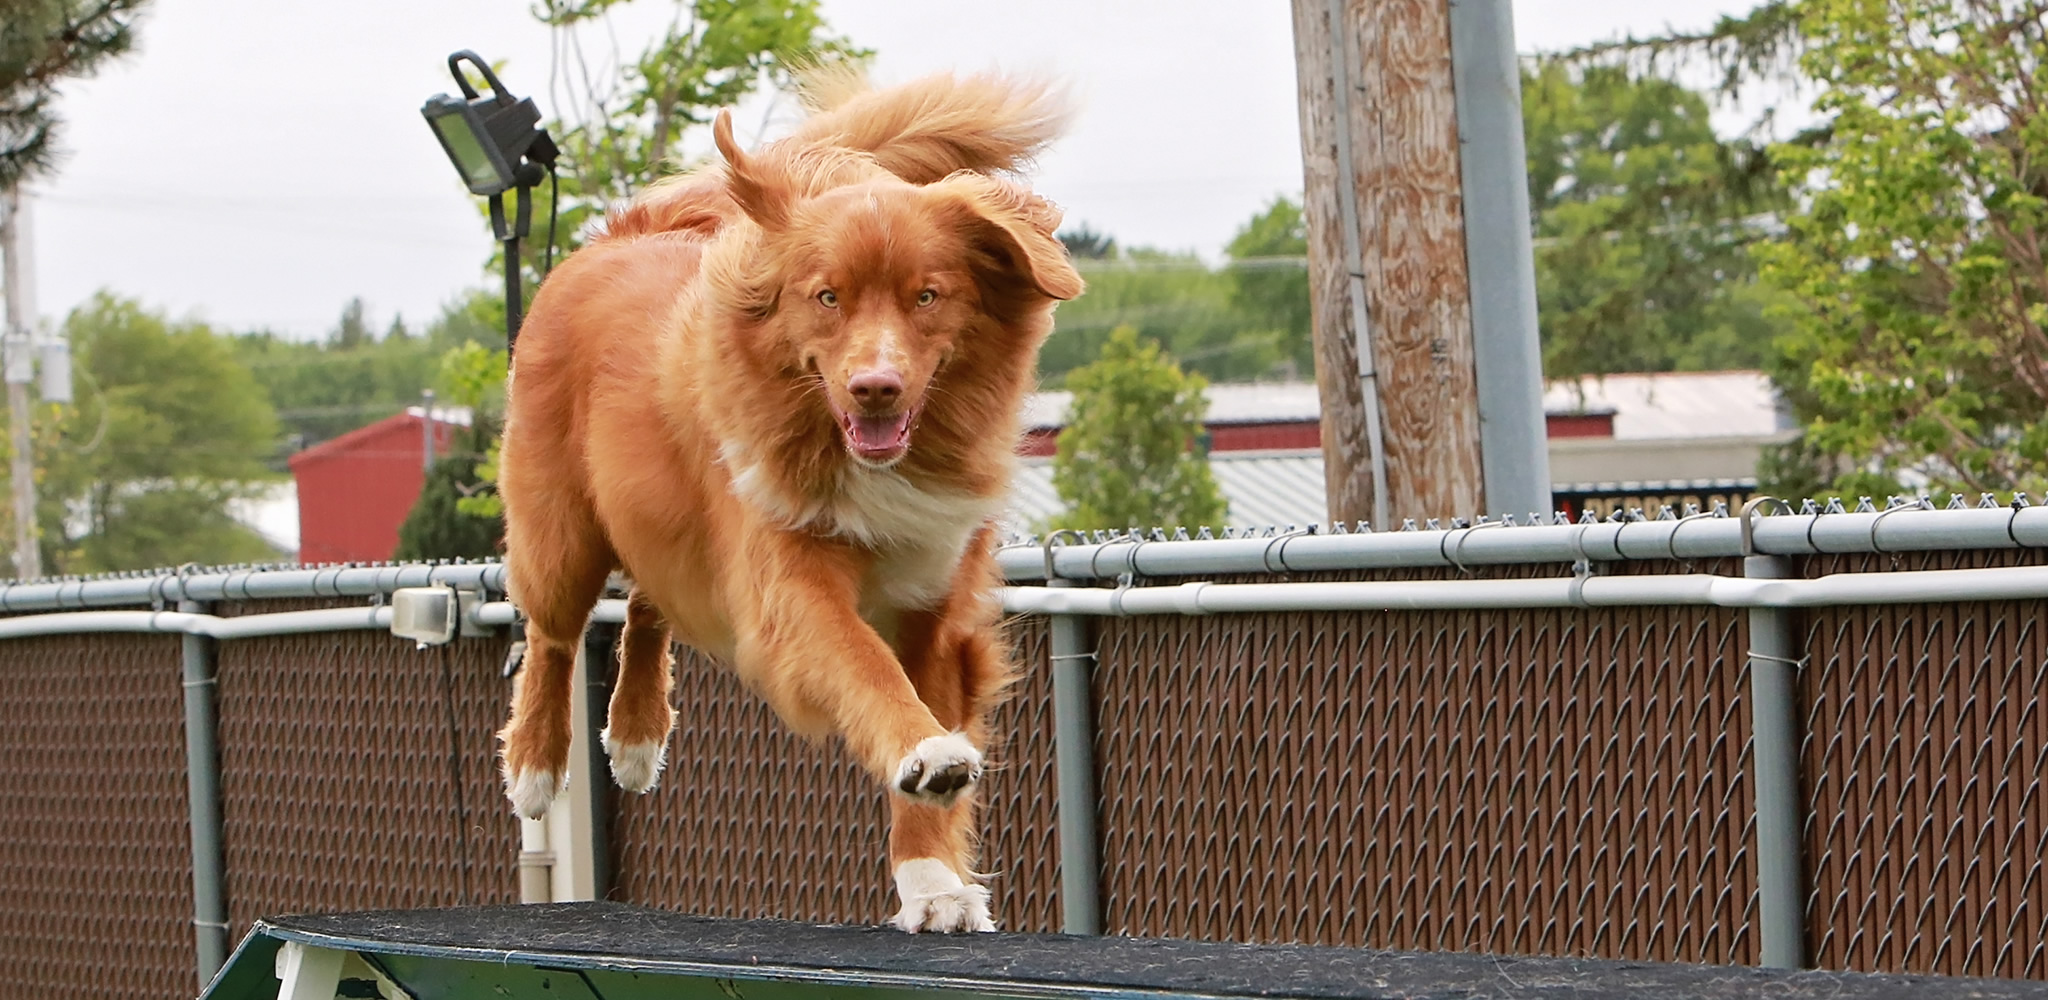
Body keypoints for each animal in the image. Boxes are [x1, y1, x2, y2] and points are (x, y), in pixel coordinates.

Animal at [493, 74, 1081, 934]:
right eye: (827, 297)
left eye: (927, 296)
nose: (876, 387)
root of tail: (628, 232)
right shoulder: (790, 579)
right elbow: (865, 666)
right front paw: (925, 754)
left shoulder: (935, 600)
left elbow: (923, 701)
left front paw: (933, 882)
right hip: (560, 526)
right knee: (554, 634)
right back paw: (536, 763)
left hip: (666, 519)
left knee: (648, 601)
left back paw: (635, 736)